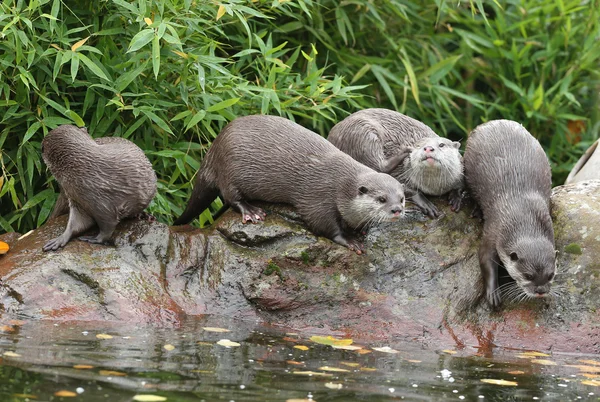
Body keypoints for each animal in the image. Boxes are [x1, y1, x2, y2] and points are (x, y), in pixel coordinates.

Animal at [173, 114, 408, 251]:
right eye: (381, 199)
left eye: (402, 198)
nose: (397, 210)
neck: (341, 185)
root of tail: (213, 148)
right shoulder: (318, 197)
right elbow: (323, 225)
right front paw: (349, 240)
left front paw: (358, 229)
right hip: (229, 169)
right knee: (230, 196)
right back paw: (251, 211)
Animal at [328, 108, 464, 218]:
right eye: (419, 146)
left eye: (441, 144)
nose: (428, 148)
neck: (434, 187)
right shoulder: (401, 173)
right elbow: (405, 188)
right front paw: (425, 202)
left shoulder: (461, 170)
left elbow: (461, 185)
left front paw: (456, 196)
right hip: (363, 133)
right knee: (379, 166)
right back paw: (403, 152)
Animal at [464, 119, 556, 308]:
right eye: (528, 276)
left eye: (550, 275)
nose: (541, 291)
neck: (524, 213)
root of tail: (491, 122)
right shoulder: (494, 229)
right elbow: (484, 258)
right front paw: (493, 293)